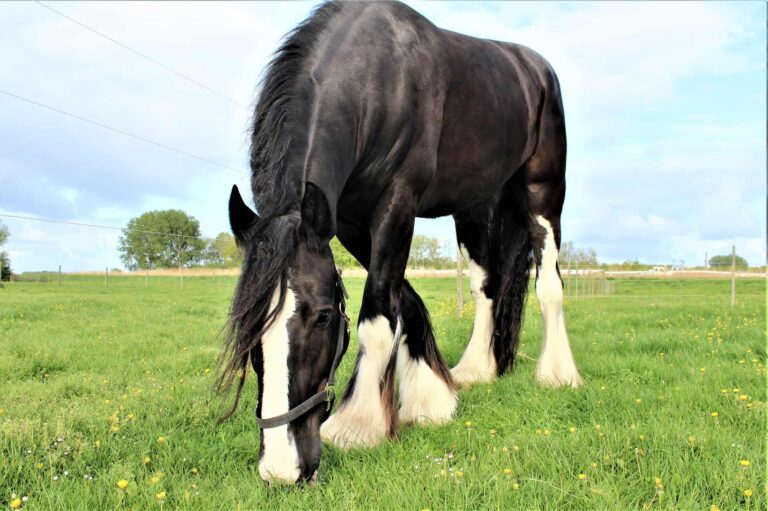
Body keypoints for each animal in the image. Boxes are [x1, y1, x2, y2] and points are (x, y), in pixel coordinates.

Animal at [216, 2, 584, 486]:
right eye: (246, 324)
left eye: (322, 317)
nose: (281, 468)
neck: (377, 78)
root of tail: (537, 68)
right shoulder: (349, 220)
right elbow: (401, 299)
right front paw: (432, 396)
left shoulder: (397, 204)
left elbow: (376, 315)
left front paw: (359, 425)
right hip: (474, 206)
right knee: (486, 286)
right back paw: (476, 370)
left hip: (543, 191)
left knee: (549, 284)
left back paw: (558, 374)